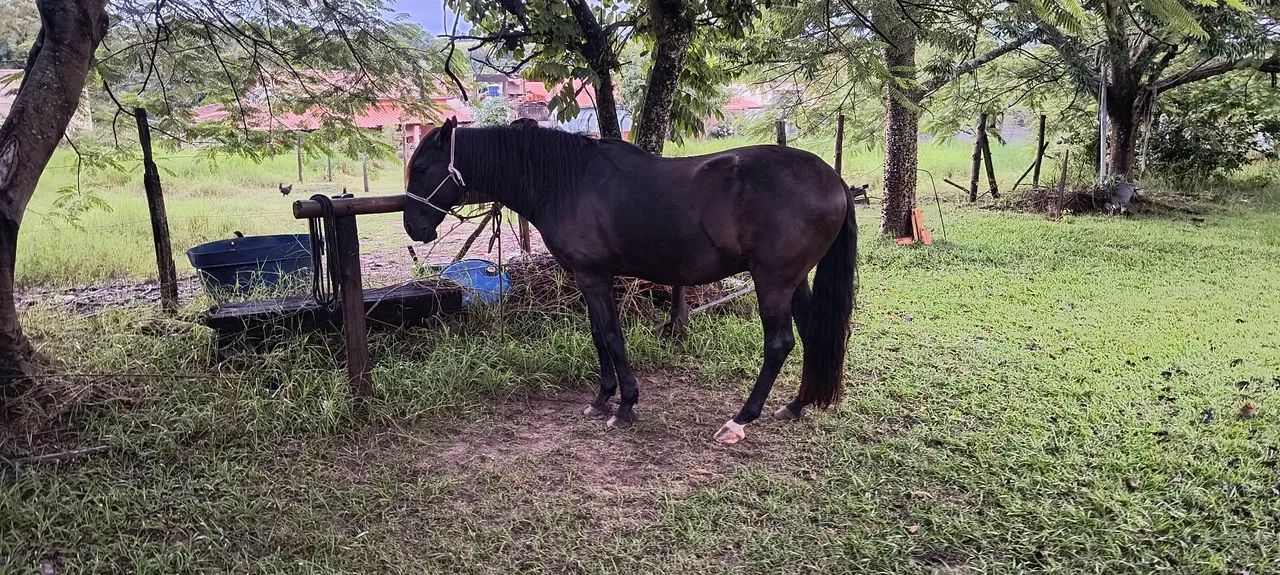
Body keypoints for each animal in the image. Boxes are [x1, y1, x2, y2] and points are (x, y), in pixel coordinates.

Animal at [403, 118, 857, 444]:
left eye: (422, 167)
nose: (413, 227)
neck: (568, 181)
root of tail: (832, 179)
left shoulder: (594, 277)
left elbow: (611, 336)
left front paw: (625, 407)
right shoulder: (588, 279)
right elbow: (597, 335)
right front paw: (602, 399)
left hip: (773, 281)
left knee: (780, 344)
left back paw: (740, 420)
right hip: (795, 281)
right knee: (813, 334)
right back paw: (796, 405)